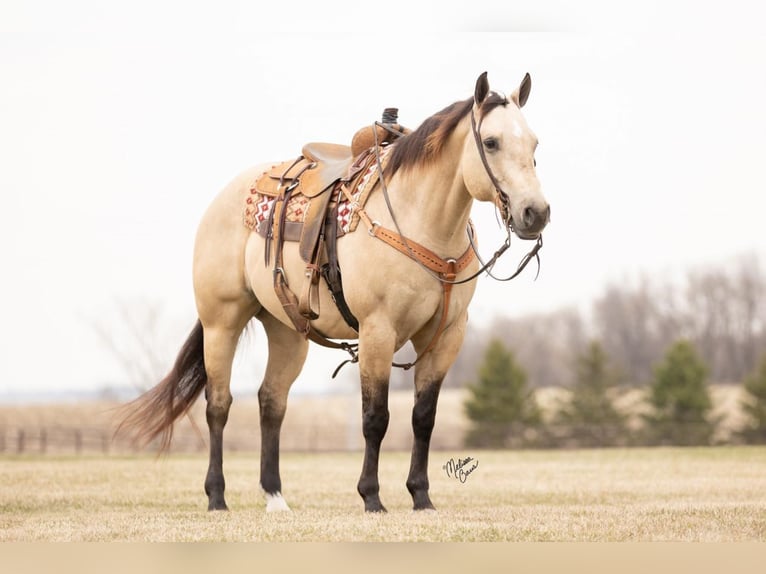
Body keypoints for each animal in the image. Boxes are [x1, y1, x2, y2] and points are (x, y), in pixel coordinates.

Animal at [118, 71, 552, 512]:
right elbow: (376, 418)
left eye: (534, 143)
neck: (420, 220)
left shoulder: (445, 335)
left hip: (287, 332)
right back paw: (217, 497)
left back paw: (275, 496)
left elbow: (423, 418)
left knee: (271, 402)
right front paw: (371, 497)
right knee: (218, 406)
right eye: (491, 142)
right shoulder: (378, 330)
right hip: (221, 323)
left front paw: (421, 496)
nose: (535, 213)